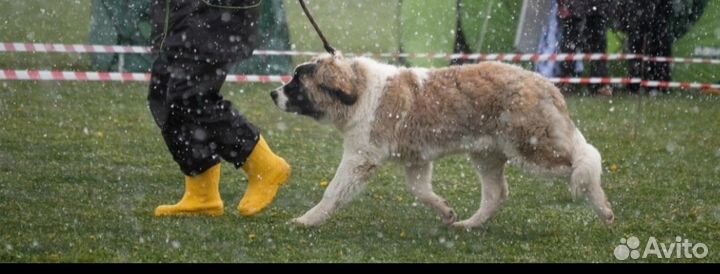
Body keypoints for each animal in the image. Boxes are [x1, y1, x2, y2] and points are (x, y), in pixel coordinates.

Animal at [270, 53, 612, 229]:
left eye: (297, 80)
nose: (273, 93)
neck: (359, 91)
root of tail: (545, 84)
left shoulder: (359, 158)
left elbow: (333, 191)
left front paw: (307, 219)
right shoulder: (415, 159)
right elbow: (419, 189)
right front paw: (446, 212)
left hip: (531, 150)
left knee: (580, 165)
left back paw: (604, 209)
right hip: (487, 155)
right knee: (496, 193)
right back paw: (470, 224)